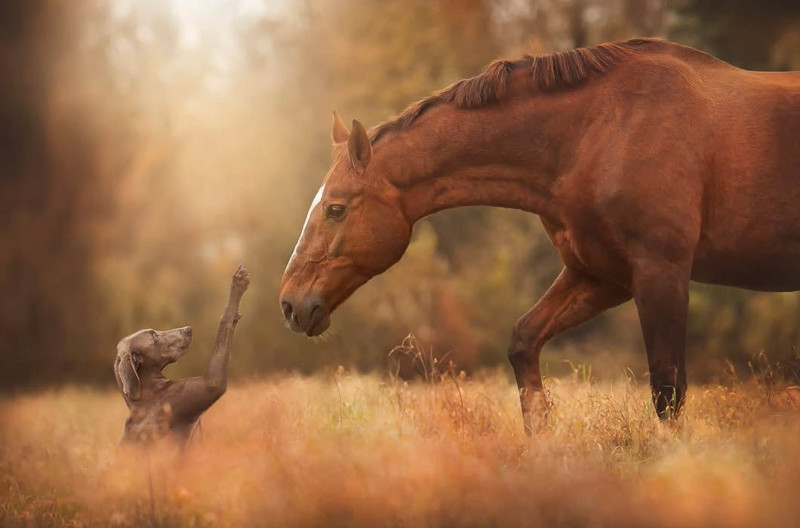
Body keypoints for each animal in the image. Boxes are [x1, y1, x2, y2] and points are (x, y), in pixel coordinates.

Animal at [114, 262, 248, 444]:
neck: (146, 394)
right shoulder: (209, 385)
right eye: (154, 335)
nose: (188, 329)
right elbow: (225, 319)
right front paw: (238, 282)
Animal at [278, 39, 800, 432]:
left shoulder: (661, 272)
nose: (289, 303)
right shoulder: (601, 276)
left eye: (336, 209)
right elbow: (524, 343)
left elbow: (667, 391)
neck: (601, 129)